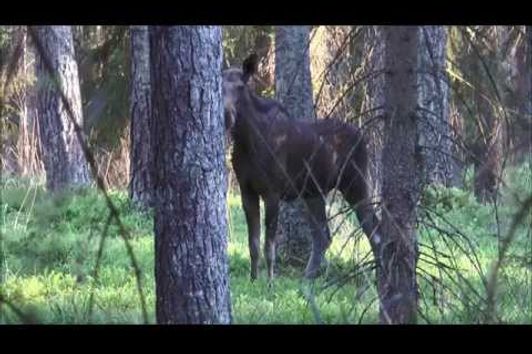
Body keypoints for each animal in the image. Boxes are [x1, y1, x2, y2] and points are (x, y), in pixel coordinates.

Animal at [222, 54, 380, 280]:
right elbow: (253, 244)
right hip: (313, 193)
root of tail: (363, 138)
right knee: (323, 235)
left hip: (355, 184)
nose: (227, 116)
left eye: (240, 86)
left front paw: (270, 282)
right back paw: (308, 278)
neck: (247, 141)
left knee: (374, 230)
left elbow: (269, 246)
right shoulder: (247, 190)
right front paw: (253, 279)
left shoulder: (272, 192)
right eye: (219, 87)